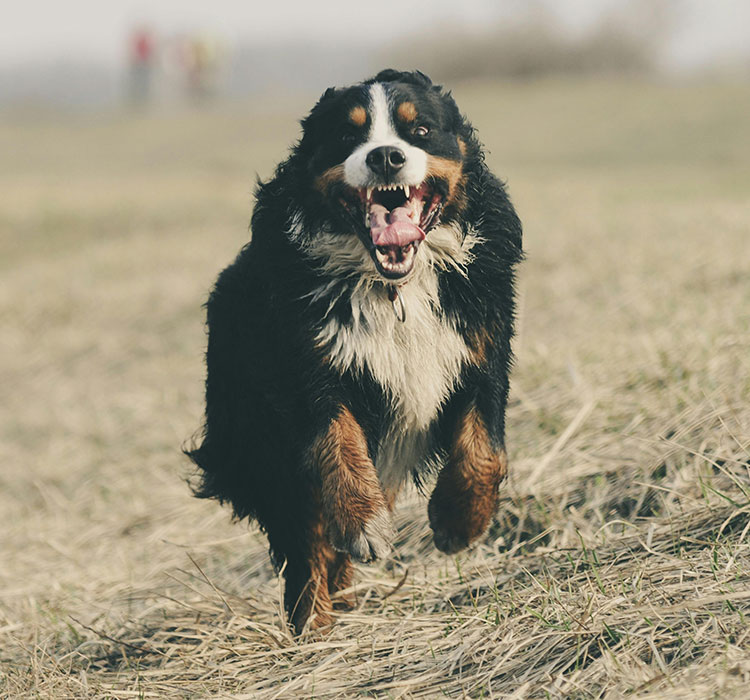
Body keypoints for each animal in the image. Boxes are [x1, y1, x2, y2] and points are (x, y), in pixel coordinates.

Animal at [188, 68, 524, 632]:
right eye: (347, 135)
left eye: (421, 130)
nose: (385, 156)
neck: (395, 288)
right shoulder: (309, 369)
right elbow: (338, 444)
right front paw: (364, 524)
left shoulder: (482, 349)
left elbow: (486, 450)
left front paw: (458, 521)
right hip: (262, 443)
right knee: (305, 542)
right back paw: (315, 624)